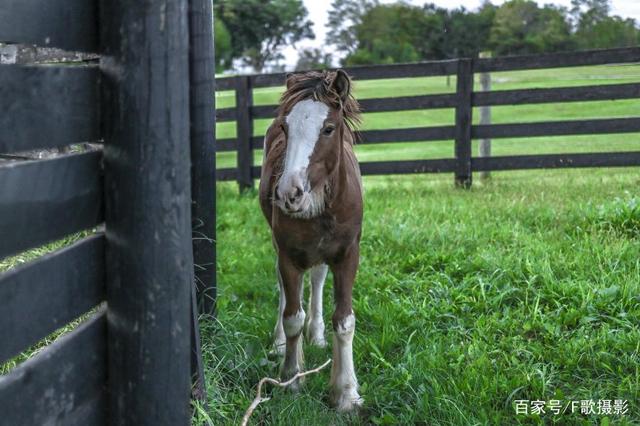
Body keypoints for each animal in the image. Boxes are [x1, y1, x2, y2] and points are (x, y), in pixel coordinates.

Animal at [258, 70, 362, 412]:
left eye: (328, 129)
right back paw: (280, 342)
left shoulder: (347, 255)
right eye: (285, 127)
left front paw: (346, 393)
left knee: (316, 277)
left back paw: (315, 334)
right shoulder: (288, 254)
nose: (289, 193)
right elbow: (292, 316)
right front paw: (291, 378)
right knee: (285, 288)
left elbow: (344, 321)